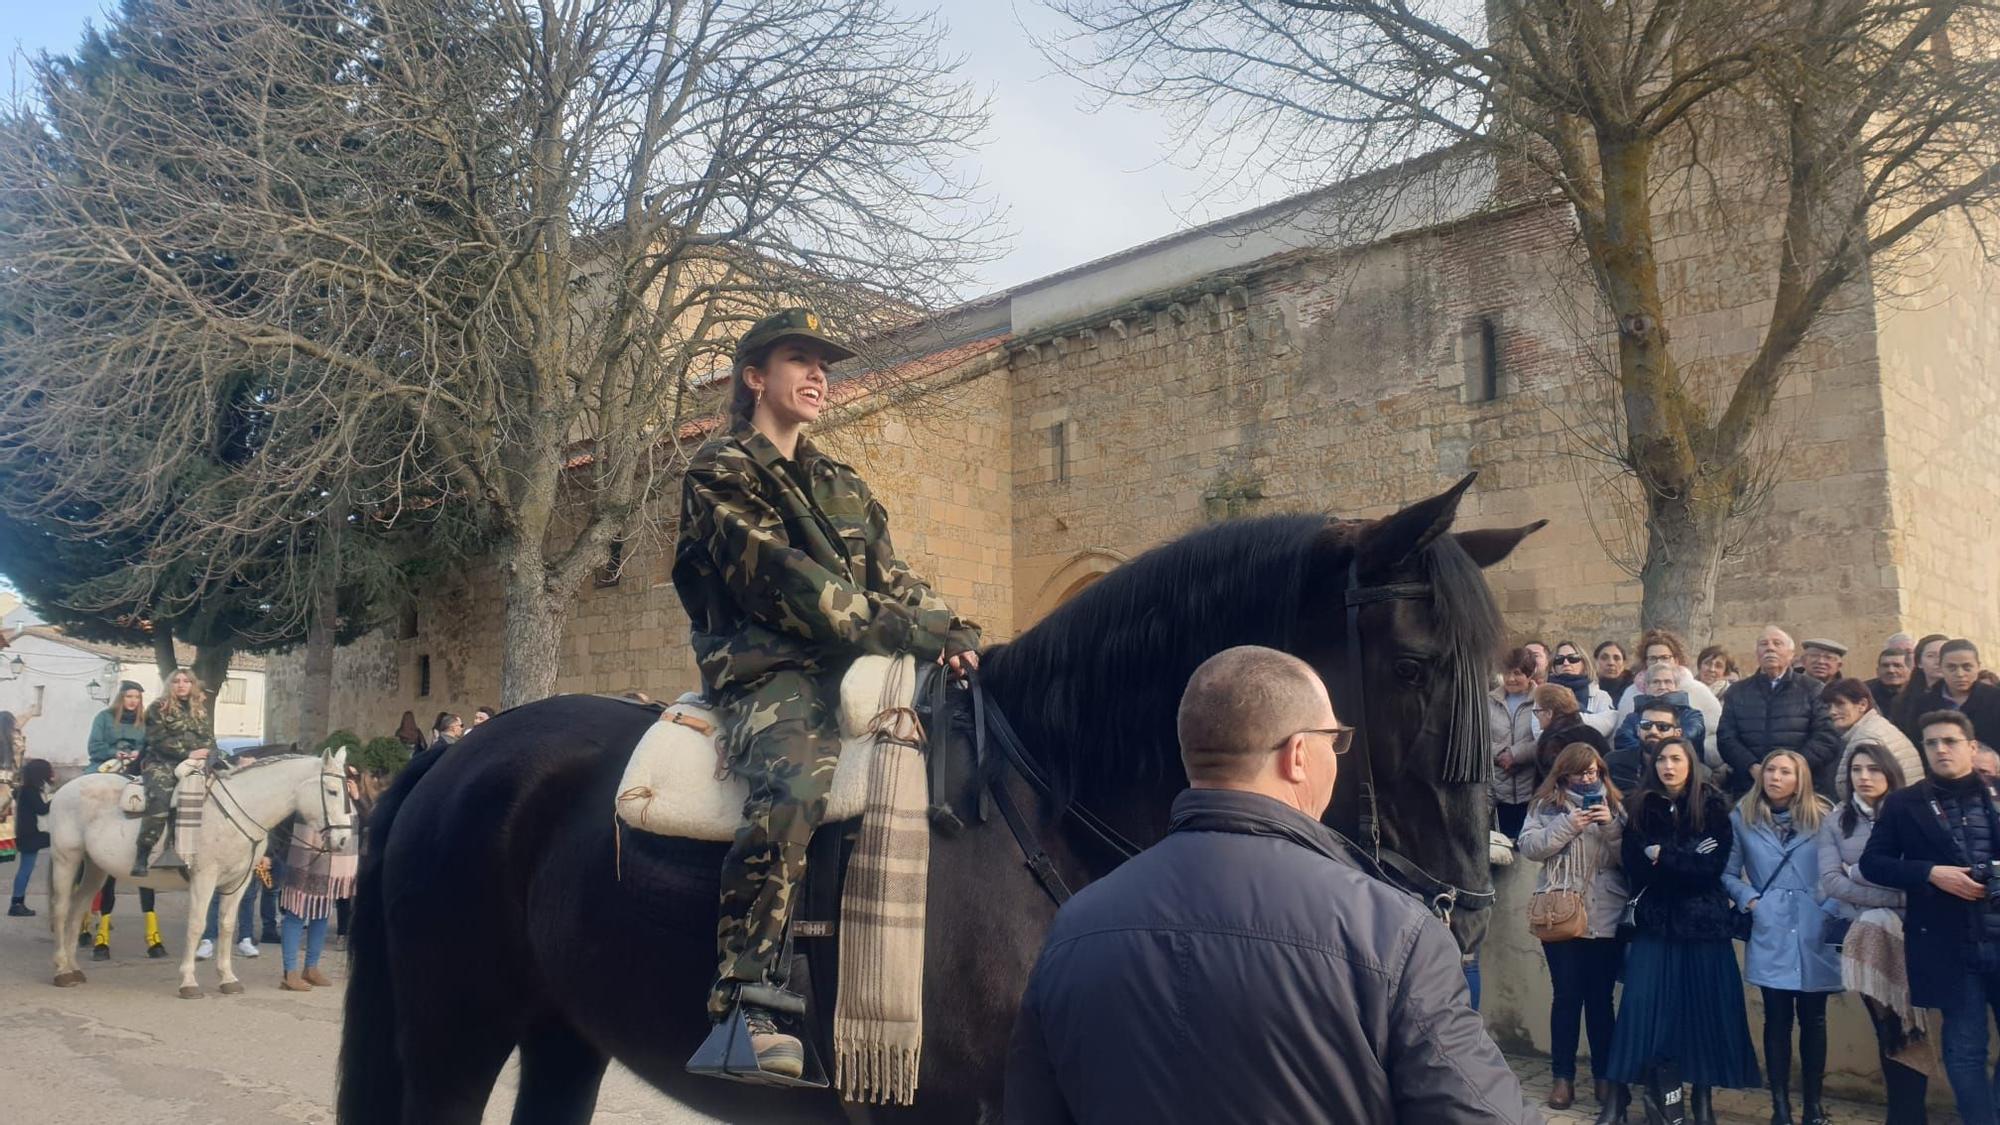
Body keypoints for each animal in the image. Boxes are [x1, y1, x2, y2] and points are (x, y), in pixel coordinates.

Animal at [45, 748, 354, 992]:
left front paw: (227, 978)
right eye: (332, 791)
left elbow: (227, 925)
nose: (342, 840)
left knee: (77, 909)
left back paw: (73, 967)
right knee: (61, 910)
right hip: (67, 859)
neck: (238, 811)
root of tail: (66, 788)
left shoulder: (238, 882)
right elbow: (197, 925)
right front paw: (188, 981)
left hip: (95, 868)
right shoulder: (204, 878)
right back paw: (61, 970)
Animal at [336, 468, 1536, 1112]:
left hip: (560, 1030)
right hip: (453, 1031)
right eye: (1417, 668)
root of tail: (456, 753)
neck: (1039, 810)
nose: (1467, 910)